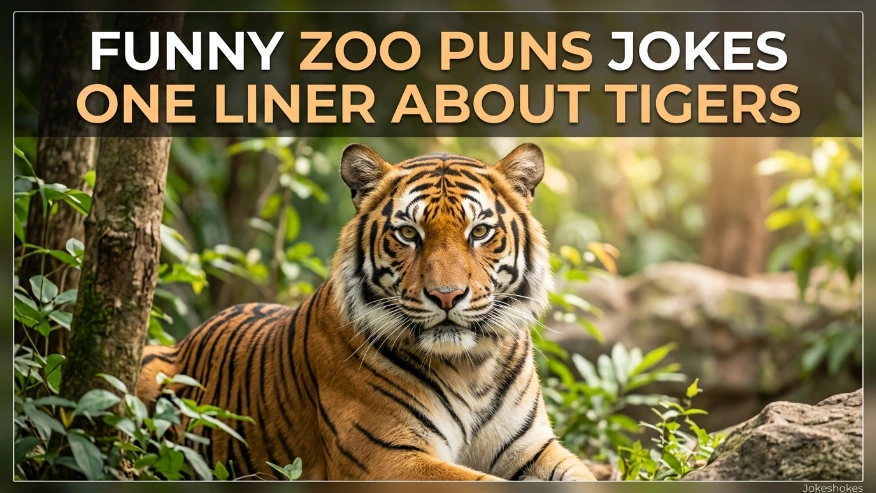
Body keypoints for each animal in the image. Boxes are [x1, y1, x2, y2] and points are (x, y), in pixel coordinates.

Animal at [137, 143, 597, 481]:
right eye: (408, 233)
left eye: (480, 232)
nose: (447, 296)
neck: (471, 366)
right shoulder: (390, 457)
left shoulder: (534, 449)